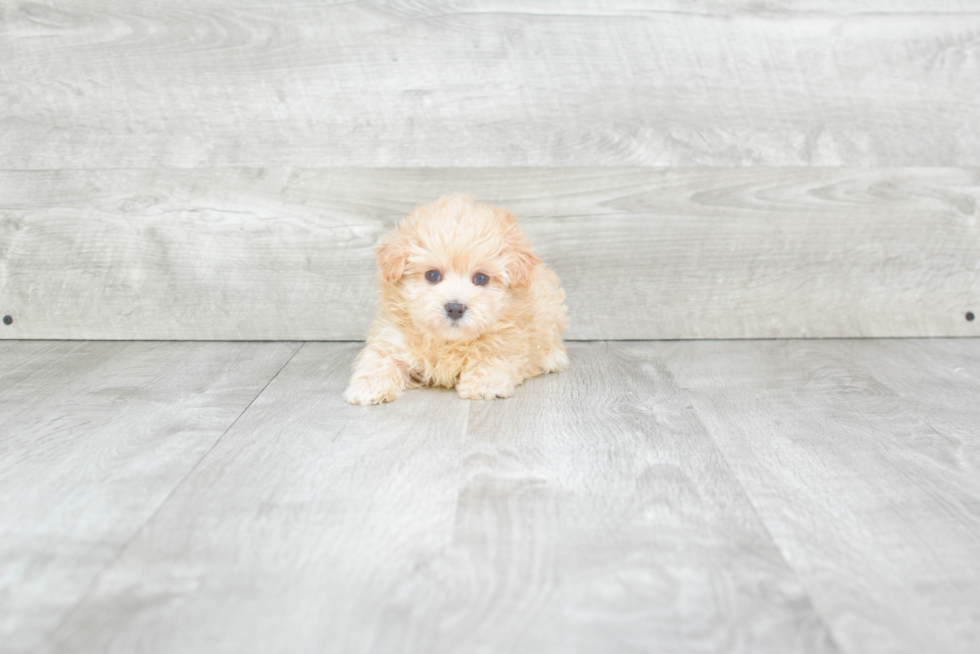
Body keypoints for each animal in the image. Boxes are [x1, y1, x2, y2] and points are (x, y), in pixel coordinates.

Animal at [344, 196, 572, 404]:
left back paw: (551, 358)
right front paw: (369, 386)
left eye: (481, 279)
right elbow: (379, 358)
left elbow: (493, 356)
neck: (448, 341)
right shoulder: (391, 336)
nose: (455, 308)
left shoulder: (510, 340)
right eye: (432, 275)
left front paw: (485, 385)